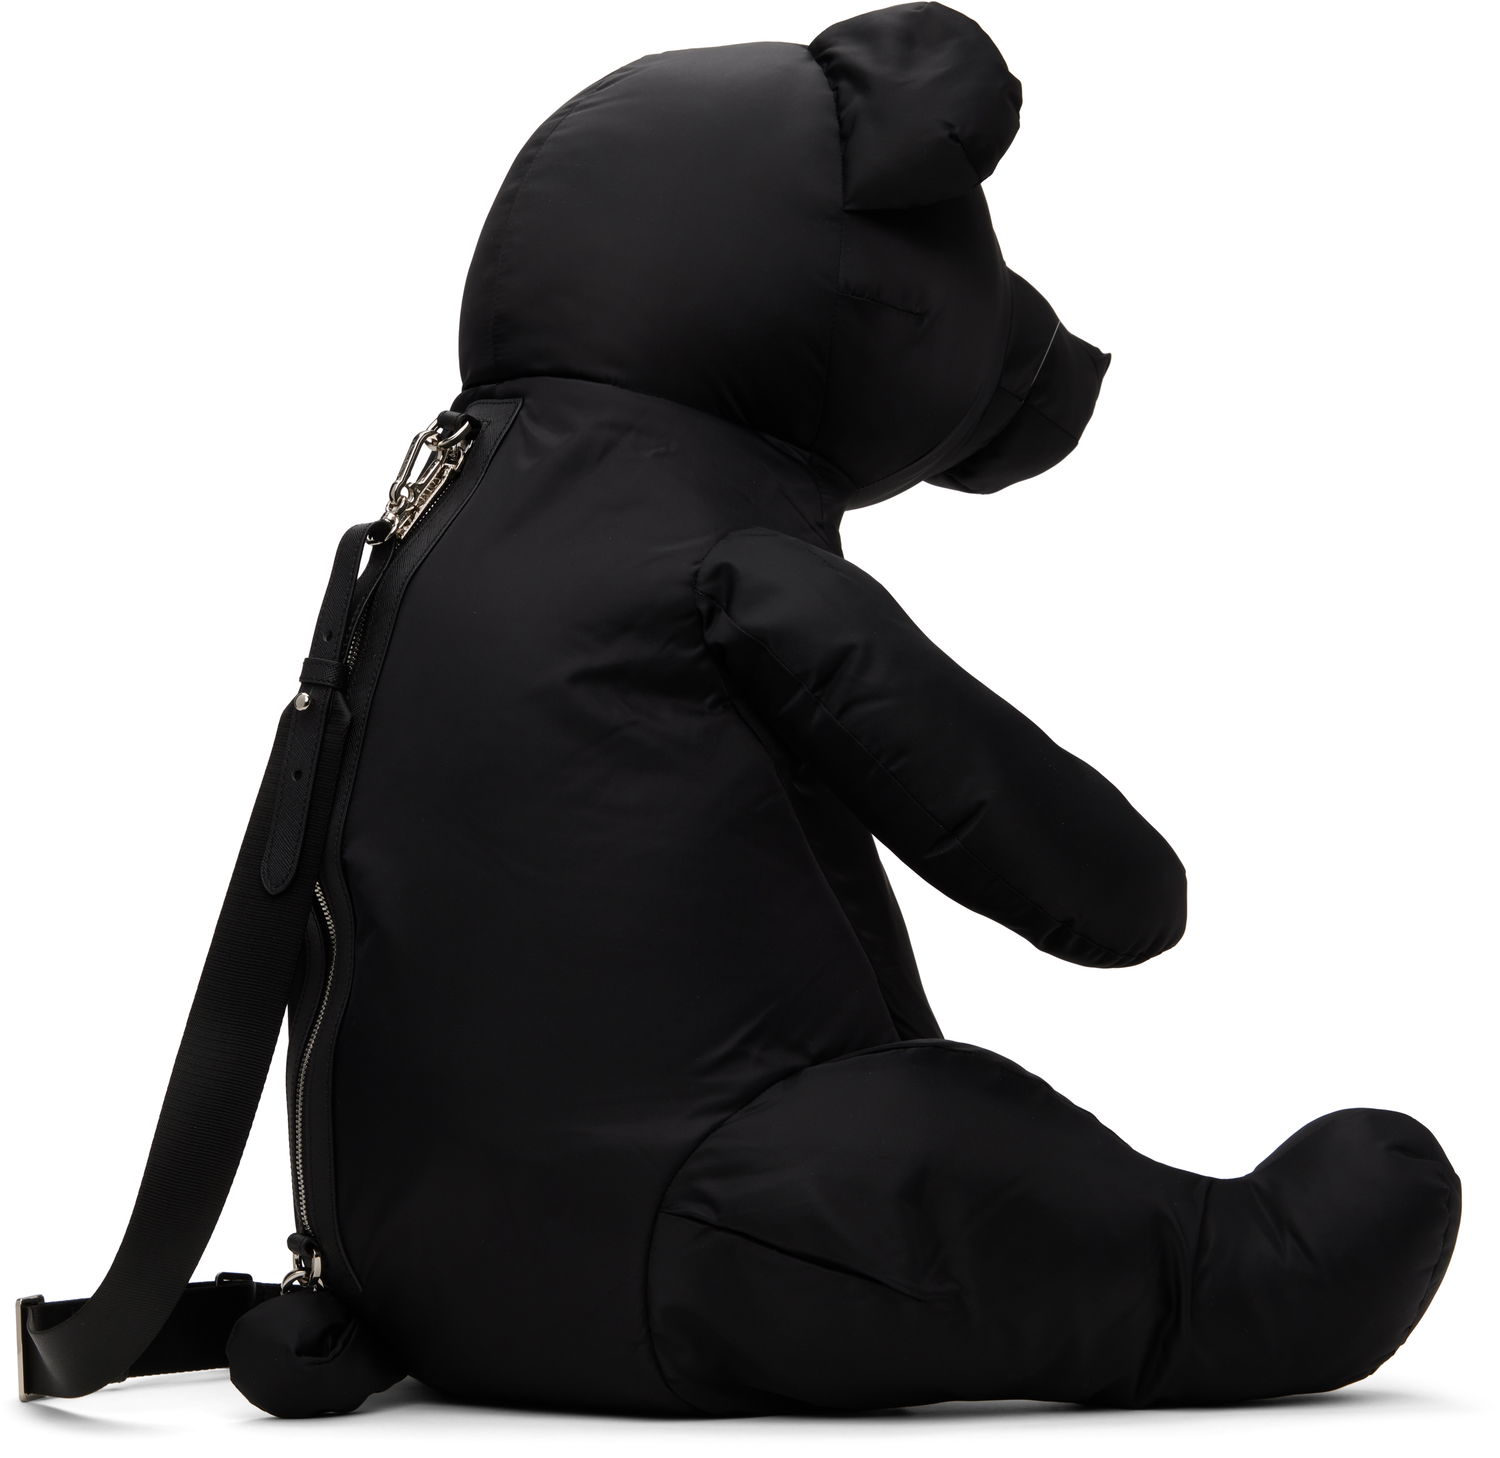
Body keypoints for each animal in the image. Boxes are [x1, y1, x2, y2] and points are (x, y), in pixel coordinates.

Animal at [316, 1, 1459, 1414]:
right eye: (988, 263)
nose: (1094, 364)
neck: (611, 402)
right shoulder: (793, 587)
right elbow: (1023, 797)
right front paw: (1154, 901)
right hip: (886, 1172)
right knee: (1136, 1252)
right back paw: (1358, 1191)